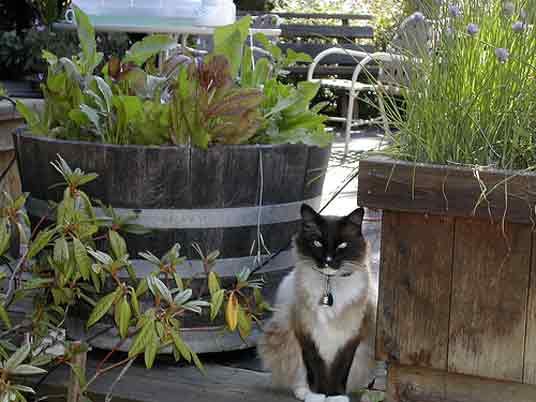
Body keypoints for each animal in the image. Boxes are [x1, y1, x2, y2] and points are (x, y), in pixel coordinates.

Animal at [258, 204, 374, 402]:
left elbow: (340, 370)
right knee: (298, 376)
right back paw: (304, 392)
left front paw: (335, 396)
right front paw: (318, 394)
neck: (329, 283)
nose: (328, 261)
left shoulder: (350, 337)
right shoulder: (306, 332)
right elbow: (315, 366)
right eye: (317, 243)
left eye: (342, 245)